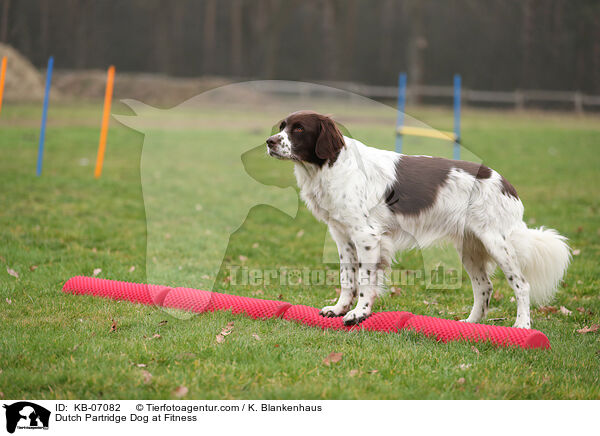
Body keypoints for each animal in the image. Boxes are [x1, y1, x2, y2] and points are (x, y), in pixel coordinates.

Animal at [268, 110, 572, 328]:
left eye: (298, 129)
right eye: (282, 125)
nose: (269, 142)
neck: (331, 167)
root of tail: (505, 183)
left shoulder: (367, 236)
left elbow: (365, 280)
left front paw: (358, 313)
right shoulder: (342, 236)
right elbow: (347, 278)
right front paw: (339, 308)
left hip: (497, 244)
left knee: (521, 285)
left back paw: (522, 326)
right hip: (470, 248)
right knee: (484, 287)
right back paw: (470, 324)